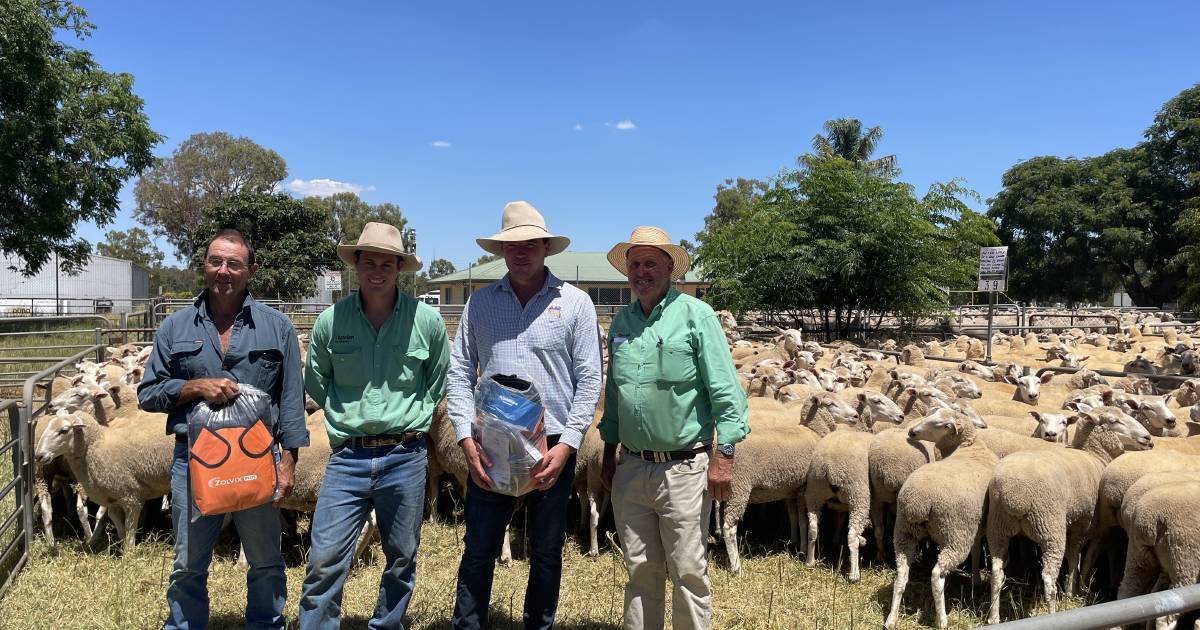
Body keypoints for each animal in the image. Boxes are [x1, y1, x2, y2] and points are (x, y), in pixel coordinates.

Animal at [34, 410, 174, 547]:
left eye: (63, 430)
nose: (39, 456)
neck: (96, 445)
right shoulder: (113, 499)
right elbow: (117, 524)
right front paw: (122, 544)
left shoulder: (131, 497)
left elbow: (130, 530)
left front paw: (130, 551)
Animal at [984, 405, 1152, 619]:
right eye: (1114, 421)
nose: (1148, 438)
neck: (1095, 456)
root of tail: (1015, 496)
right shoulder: (1085, 524)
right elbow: (1077, 557)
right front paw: (1074, 590)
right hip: (1050, 527)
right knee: (1048, 577)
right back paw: (1053, 612)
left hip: (997, 527)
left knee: (997, 572)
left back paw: (994, 617)